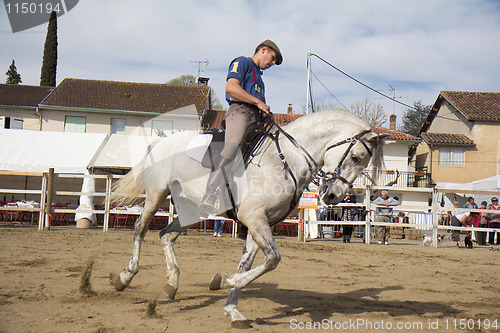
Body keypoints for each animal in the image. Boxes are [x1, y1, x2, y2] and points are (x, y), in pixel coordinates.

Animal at [111, 108, 384, 324]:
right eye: (355, 157)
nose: (334, 196)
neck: (287, 159)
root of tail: (160, 144)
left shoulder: (262, 222)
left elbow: (248, 264)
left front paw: (232, 307)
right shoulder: (254, 218)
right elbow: (272, 259)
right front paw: (223, 282)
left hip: (192, 208)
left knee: (166, 235)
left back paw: (171, 284)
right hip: (157, 194)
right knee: (140, 228)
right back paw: (125, 276)